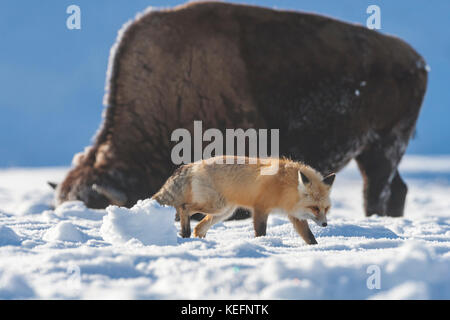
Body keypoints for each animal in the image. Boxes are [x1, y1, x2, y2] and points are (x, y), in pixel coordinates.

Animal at [54, 1, 428, 218]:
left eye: (96, 205)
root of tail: (415, 60)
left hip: (383, 146)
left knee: (377, 190)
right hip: (375, 151)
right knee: (396, 189)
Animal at [154, 156, 334, 244]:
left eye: (325, 209)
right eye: (314, 208)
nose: (325, 224)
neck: (285, 187)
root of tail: (194, 164)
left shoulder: (295, 215)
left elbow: (309, 237)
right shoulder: (260, 208)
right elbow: (260, 232)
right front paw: (263, 244)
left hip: (225, 212)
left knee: (199, 227)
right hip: (217, 206)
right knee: (183, 207)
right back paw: (185, 233)